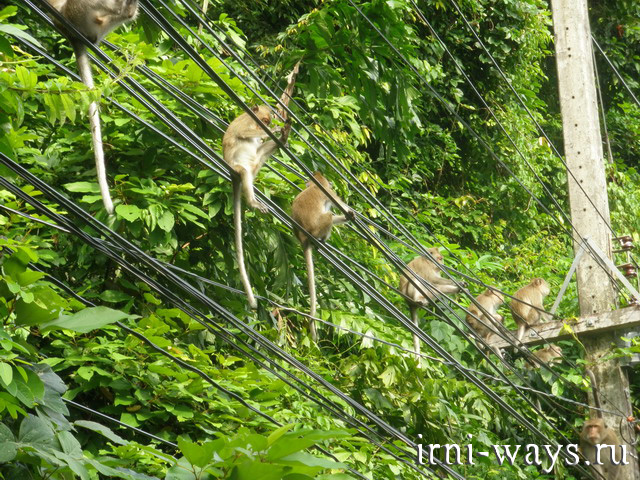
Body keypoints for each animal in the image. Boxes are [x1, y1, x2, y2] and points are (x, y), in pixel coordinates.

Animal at [292, 171, 356, 340]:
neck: (316, 186)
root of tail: (303, 236)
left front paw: (348, 216)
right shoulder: (329, 193)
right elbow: (338, 204)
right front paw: (349, 213)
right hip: (317, 229)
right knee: (328, 216)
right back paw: (322, 240)